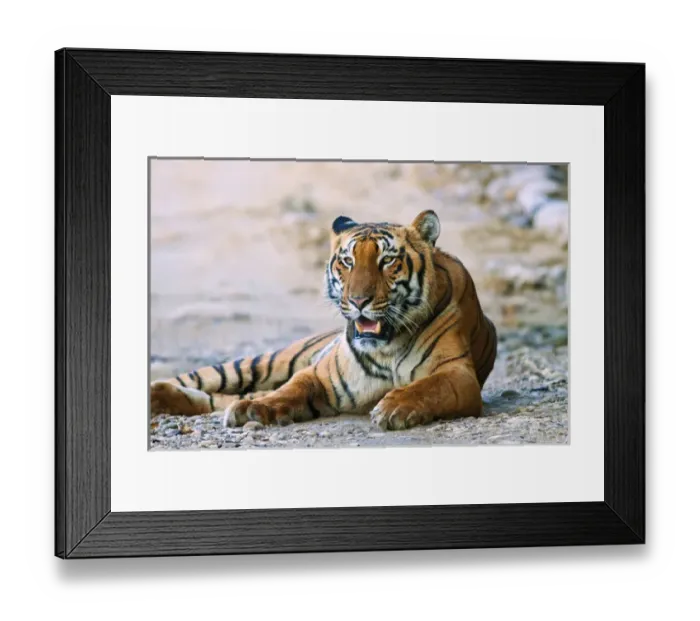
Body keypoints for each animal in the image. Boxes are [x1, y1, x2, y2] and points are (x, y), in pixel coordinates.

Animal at [150, 210, 497, 431]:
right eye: (348, 261)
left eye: (387, 261)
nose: (359, 301)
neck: (387, 346)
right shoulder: (319, 373)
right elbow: (288, 389)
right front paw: (254, 410)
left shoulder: (457, 373)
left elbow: (428, 387)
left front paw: (394, 407)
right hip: (260, 363)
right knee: (205, 380)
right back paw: (158, 393)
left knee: (217, 398)